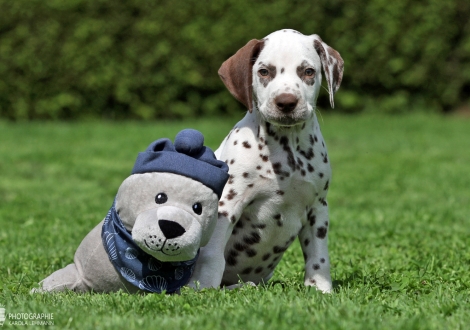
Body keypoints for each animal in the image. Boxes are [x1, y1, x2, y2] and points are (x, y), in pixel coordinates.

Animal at [189, 28, 344, 292]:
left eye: (308, 71)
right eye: (264, 71)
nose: (286, 102)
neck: (286, 148)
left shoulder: (317, 207)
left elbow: (319, 256)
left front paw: (320, 289)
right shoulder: (227, 204)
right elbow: (211, 255)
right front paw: (204, 289)